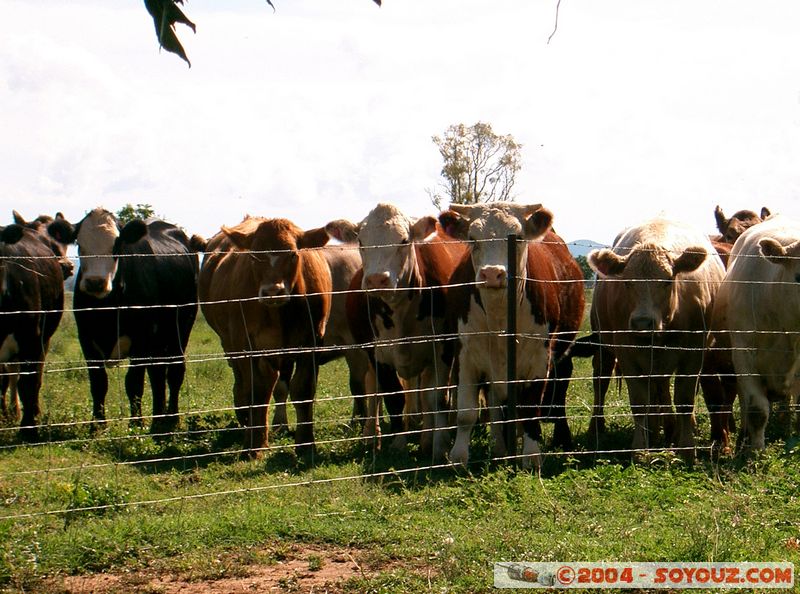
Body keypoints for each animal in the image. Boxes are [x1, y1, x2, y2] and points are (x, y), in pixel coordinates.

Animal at [47, 208, 202, 432]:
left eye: (116, 246)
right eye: (80, 245)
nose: (95, 282)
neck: (107, 309)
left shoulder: (141, 338)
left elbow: (134, 382)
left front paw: (136, 423)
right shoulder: (86, 339)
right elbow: (98, 382)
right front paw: (98, 425)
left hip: (181, 328)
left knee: (174, 370)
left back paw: (171, 417)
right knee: (157, 374)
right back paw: (159, 416)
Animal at [199, 216, 332, 458]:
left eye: (293, 254)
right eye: (254, 255)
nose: (272, 291)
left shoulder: (311, 342)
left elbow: (303, 389)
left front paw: (306, 444)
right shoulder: (245, 344)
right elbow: (257, 391)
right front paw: (255, 445)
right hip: (230, 344)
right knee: (245, 383)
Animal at [325, 203, 467, 461]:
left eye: (403, 240)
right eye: (361, 241)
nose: (376, 279)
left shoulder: (443, 349)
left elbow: (436, 398)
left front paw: (438, 445)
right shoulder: (378, 354)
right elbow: (393, 396)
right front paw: (399, 442)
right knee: (373, 389)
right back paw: (372, 434)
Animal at [438, 202, 585, 468]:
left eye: (518, 238)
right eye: (473, 238)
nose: (492, 273)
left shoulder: (539, 359)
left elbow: (530, 409)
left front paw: (531, 457)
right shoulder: (465, 354)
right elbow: (466, 413)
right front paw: (458, 458)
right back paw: (500, 448)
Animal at [588, 217, 725, 459]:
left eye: (668, 281)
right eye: (627, 282)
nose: (643, 322)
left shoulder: (693, 354)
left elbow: (684, 399)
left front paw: (686, 447)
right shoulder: (627, 354)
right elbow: (639, 402)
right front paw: (640, 449)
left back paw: (671, 428)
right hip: (603, 347)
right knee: (601, 381)